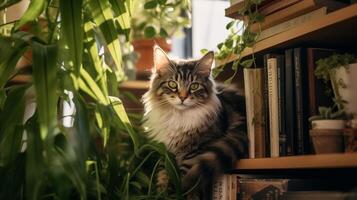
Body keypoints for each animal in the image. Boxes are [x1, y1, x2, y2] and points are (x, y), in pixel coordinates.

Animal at [140, 46, 246, 199]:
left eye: (194, 86)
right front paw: (161, 194)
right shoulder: (165, 152)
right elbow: (163, 176)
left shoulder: (196, 152)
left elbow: (184, 180)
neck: (179, 117)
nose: (183, 97)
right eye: (172, 84)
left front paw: (178, 193)